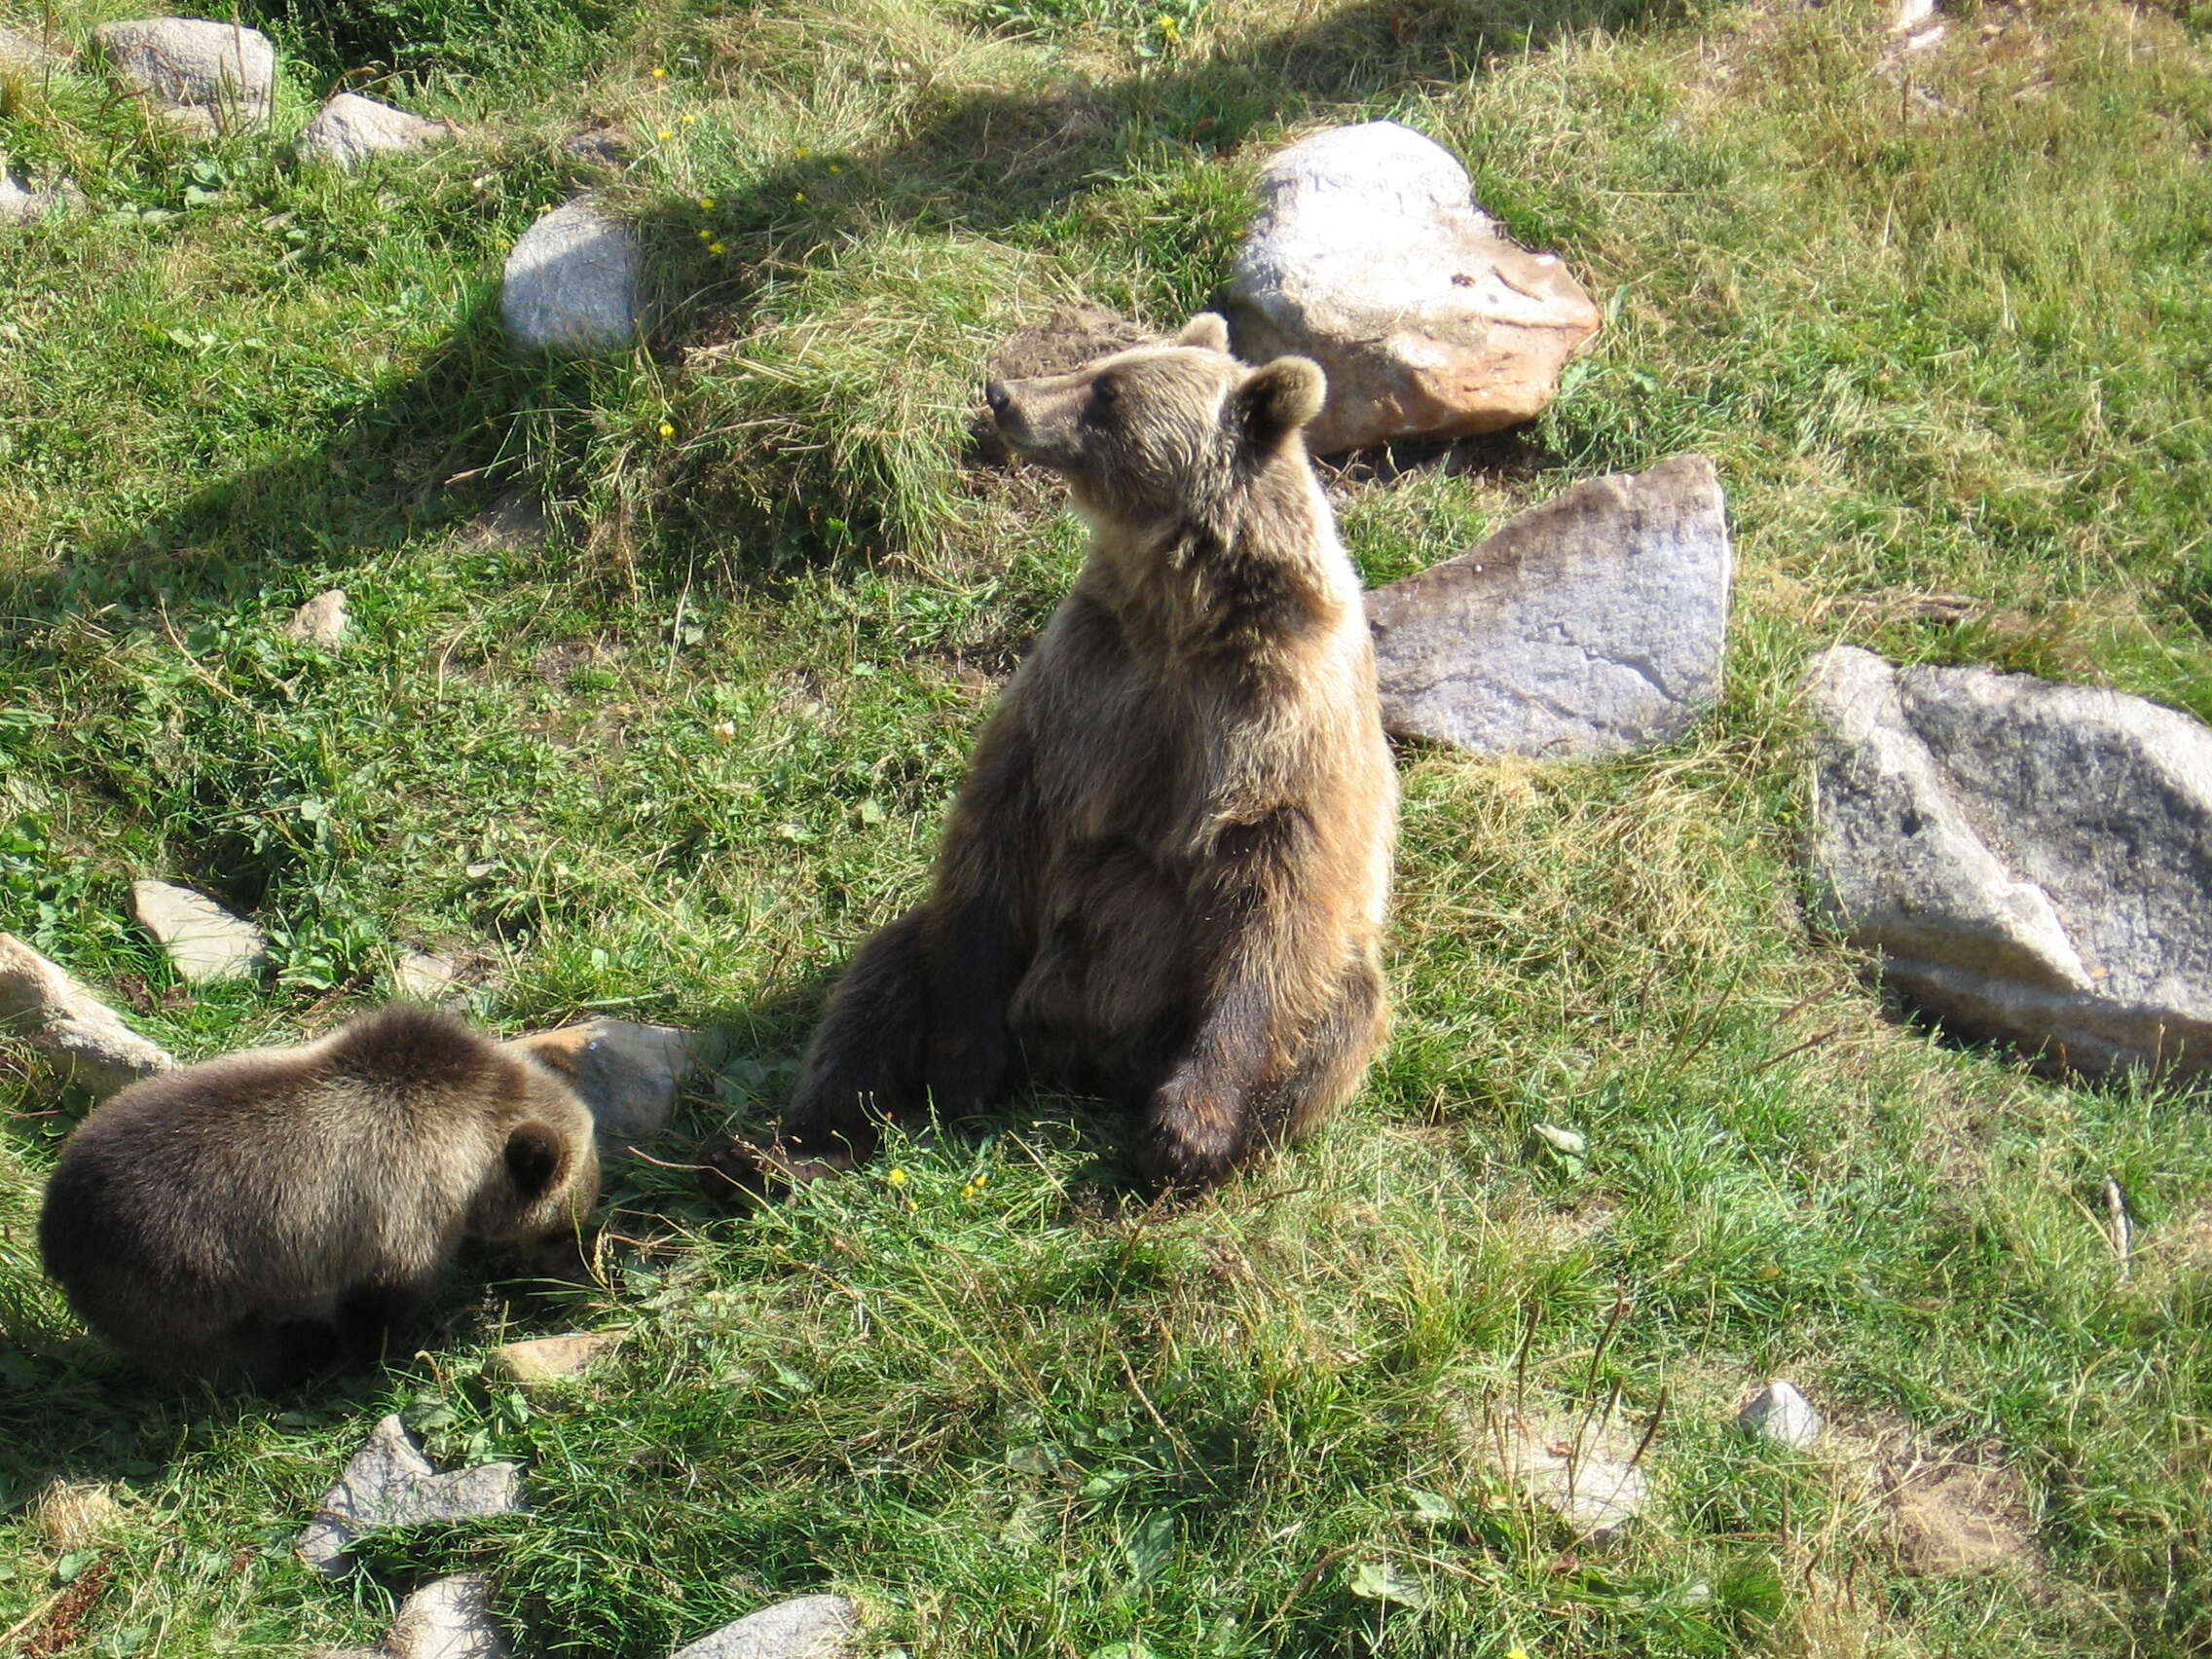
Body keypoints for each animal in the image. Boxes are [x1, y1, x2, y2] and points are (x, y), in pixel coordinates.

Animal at [43, 1009, 597, 1397]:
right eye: (562, 1228)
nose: (579, 1271)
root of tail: (57, 1231)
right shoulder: (402, 1206)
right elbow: (380, 1301)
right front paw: (389, 1355)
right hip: (181, 1280)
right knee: (225, 1357)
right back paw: (299, 1354)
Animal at [708, 312, 1397, 1194]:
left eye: (1108, 391)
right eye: (1100, 362)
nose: (1003, 392)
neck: (1178, 607)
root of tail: (1085, 1072)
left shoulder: (1279, 714)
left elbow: (1277, 883)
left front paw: (1189, 1129)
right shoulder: (1084, 681)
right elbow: (1000, 824)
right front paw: (960, 1062)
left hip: (1274, 995)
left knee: (1336, 1015)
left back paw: (1184, 1166)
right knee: (884, 976)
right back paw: (786, 1148)